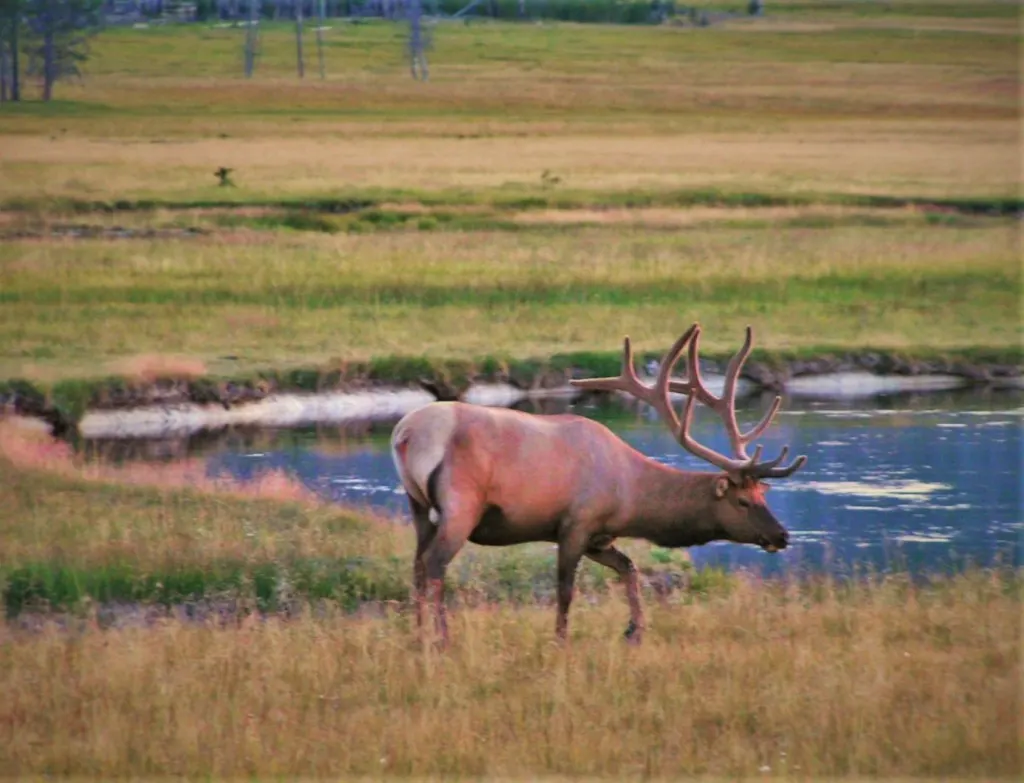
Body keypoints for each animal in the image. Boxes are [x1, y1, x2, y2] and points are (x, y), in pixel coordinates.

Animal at [389, 321, 806, 642]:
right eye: (743, 501)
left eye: (763, 493)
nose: (782, 535)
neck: (629, 498)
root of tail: (404, 434)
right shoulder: (576, 522)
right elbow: (565, 590)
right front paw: (561, 641)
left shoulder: (598, 536)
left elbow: (629, 568)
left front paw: (634, 630)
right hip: (461, 502)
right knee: (436, 564)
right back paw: (442, 639)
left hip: (418, 505)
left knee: (417, 565)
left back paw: (417, 636)